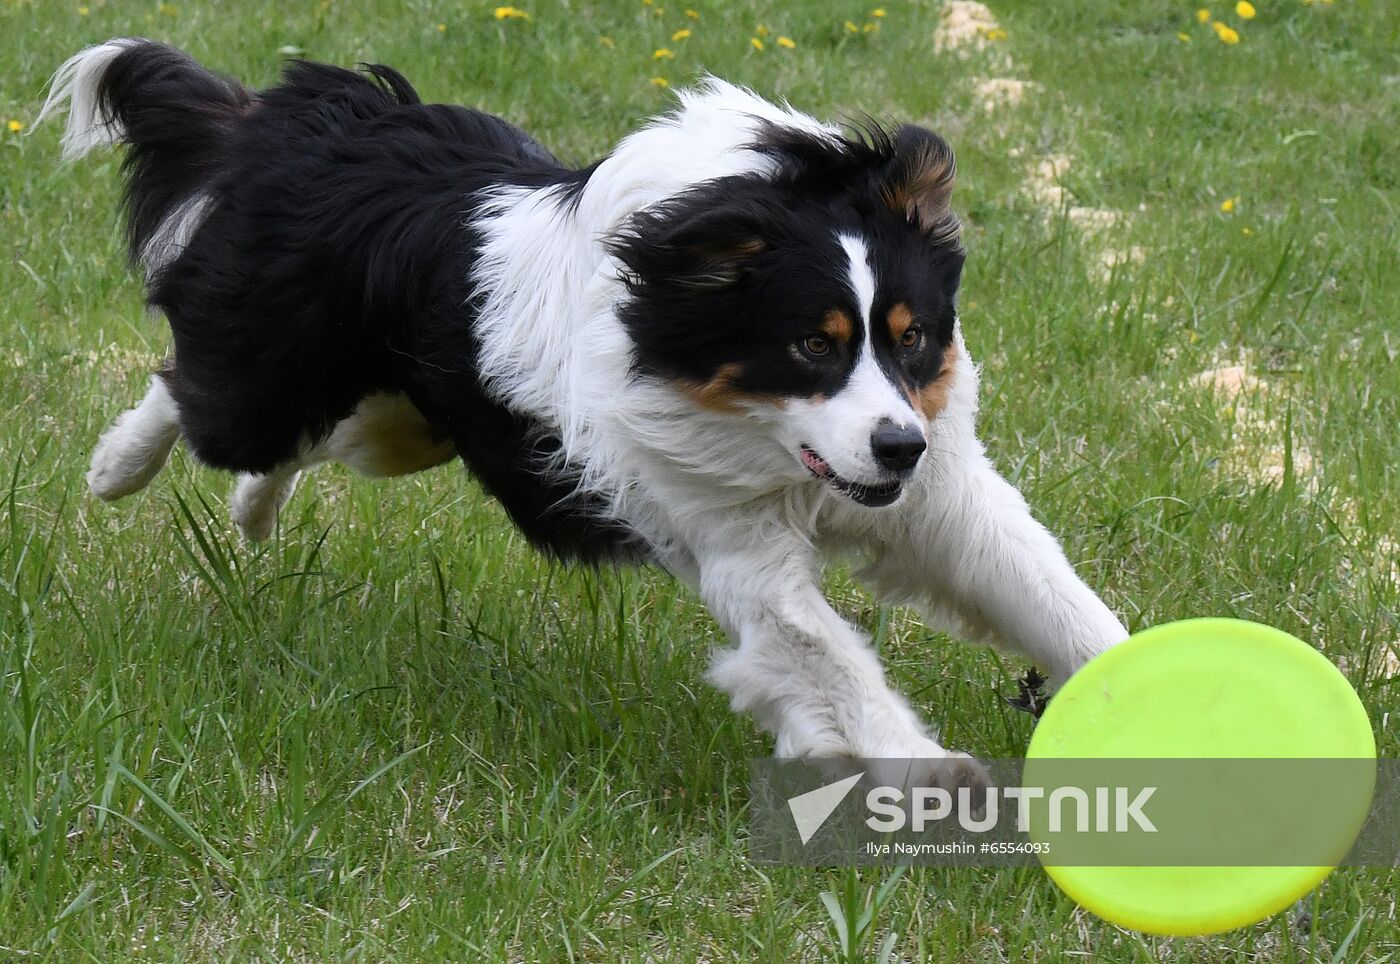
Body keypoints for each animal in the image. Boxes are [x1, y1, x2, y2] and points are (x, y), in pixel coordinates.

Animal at [40, 41, 1125, 783]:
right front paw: (930, 770)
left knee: (319, 439)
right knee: (198, 392)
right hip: (274, 375)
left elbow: (1053, 595)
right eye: (812, 346)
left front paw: (1143, 683)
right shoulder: (733, 540)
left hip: (413, 421)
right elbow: (826, 654)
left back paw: (252, 514)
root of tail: (335, 115)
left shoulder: (939, 497)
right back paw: (117, 468)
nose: (899, 446)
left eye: (911, 337)